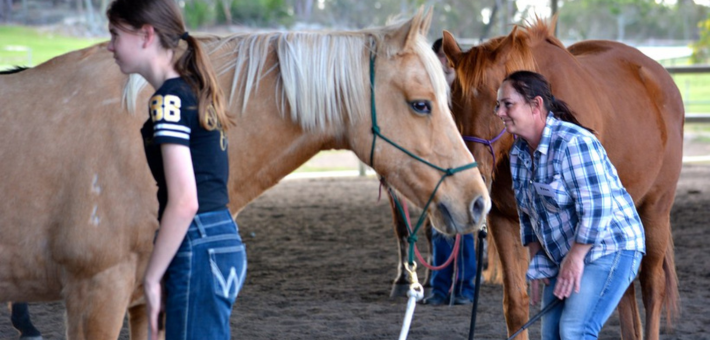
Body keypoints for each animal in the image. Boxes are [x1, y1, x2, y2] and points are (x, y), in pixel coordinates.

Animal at [444, 17, 684, 340]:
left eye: (497, 102)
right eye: (452, 102)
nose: (471, 179)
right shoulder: (504, 221)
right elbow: (516, 304)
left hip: (656, 209)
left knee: (651, 286)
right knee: (624, 292)